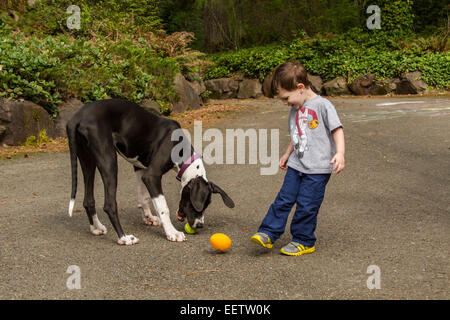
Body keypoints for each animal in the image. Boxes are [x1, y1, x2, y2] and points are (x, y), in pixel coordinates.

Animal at [67, 99, 236, 244]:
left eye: (207, 204)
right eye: (199, 204)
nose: (199, 225)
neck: (181, 150)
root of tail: (77, 116)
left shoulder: (140, 168)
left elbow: (144, 197)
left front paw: (148, 217)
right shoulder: (152, 175)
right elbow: (163, 207)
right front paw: (171, 232)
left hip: (88, 159)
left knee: (88, 200)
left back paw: (96, 228)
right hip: (108, 159)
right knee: (109, 204)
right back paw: (124, 237)